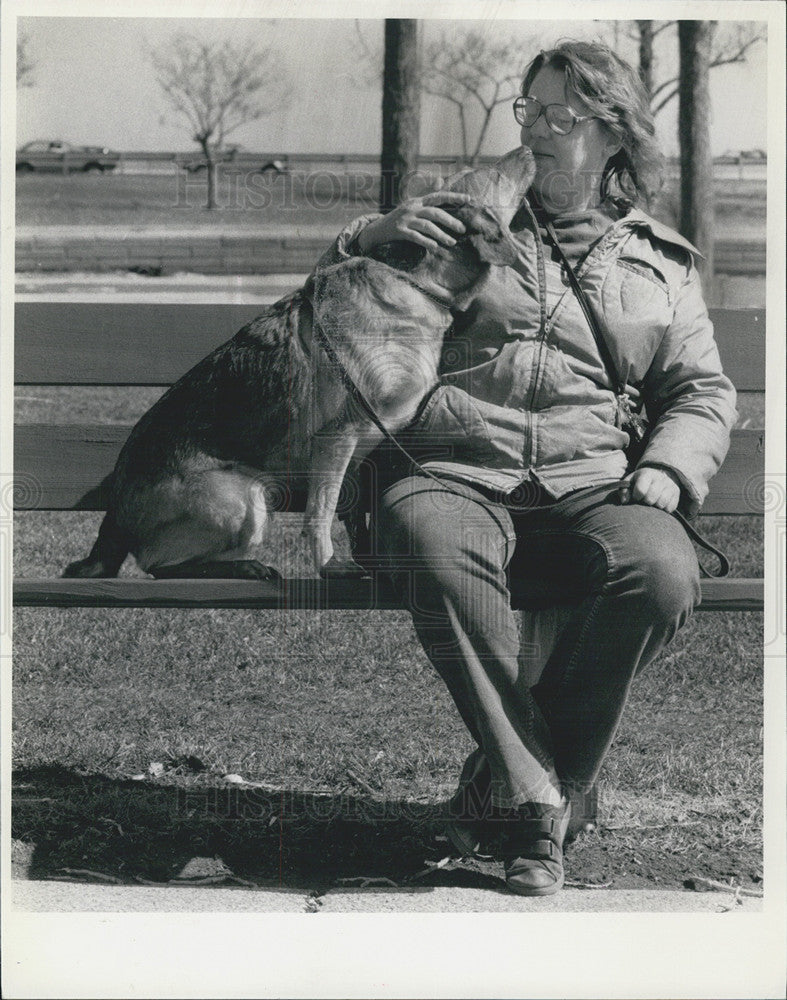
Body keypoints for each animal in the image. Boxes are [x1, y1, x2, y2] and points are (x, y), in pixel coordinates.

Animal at [64, 146, 536, 580]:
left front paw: (363, 561)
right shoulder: (338, 436)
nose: (528, 148)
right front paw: (328, 565)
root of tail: (112, 520)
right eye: (494, 172)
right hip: (244, 498)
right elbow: (320, 514)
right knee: (159, 565)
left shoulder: (357, 452)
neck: (413, 283)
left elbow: (350, 511)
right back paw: (246, 567)